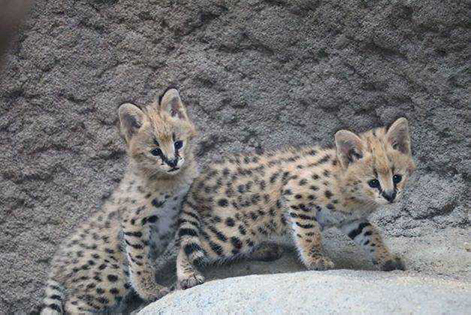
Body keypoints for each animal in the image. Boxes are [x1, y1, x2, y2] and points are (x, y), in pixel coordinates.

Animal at [40, 88, 199, 315]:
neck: (172, 179)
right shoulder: (134, 221)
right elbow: (140, 261)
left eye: (178, 143)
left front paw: (188, 275)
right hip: (112, 274)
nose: (172, 161)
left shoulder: (186, 207)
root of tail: (56, 264)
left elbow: (186, 244)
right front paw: (150, 292)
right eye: (155, 151)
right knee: (73, 303)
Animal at [177, 118, 416, 288]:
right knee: (188, 245)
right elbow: (309, 234)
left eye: (397, 177)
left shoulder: (351, 219)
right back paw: (188, 275)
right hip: (234, 231)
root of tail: (202, 176)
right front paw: (315, 260)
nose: (390, 195)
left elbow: (371, 234)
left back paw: (265, 250)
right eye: (373, 182)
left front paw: (386, 258)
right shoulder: (296, 195)